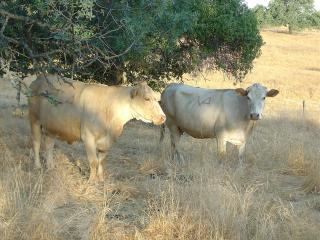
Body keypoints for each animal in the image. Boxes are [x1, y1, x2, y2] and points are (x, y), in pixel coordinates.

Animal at [28, 74, 166, 183]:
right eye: (147, 98)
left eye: (156, 98)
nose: (163, 117)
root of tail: (41, 77)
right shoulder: (88, 137)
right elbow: (93, 161)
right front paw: (91, 181)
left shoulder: (107, 141)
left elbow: (101, 160)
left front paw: (101, 179)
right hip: (34, 120)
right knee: (36, 143)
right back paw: (37, 167)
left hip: (51, 126)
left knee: (49, 145)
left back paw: (50, 167)